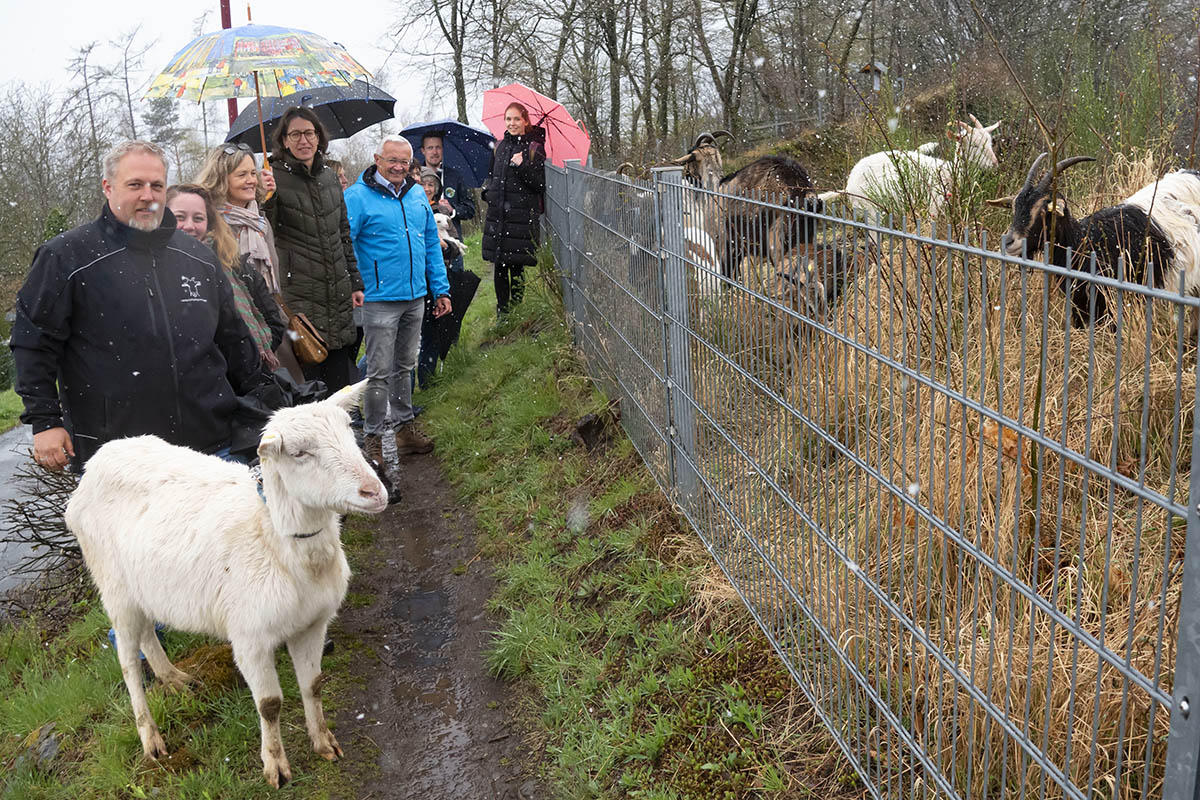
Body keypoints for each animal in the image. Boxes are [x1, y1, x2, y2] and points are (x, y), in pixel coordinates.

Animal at [816, 113, 1003, 219]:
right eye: (974, 145)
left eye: (990, 142)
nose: (995, 164)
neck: (950, 171)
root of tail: (848, 186)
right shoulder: (933, 206)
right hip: (870, 210)